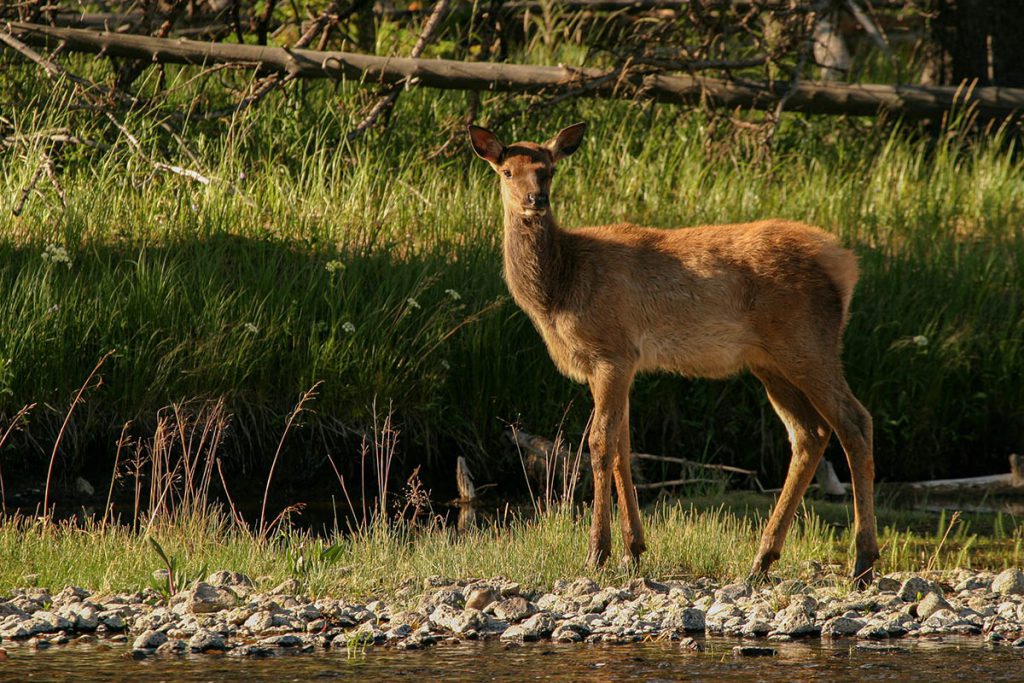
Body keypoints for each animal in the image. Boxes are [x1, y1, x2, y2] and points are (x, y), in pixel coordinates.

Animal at [471, 120, 880, 585]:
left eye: (549, 170)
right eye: (507, 171)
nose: (535, 200)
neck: (558, 290)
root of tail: (845, 264)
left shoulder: (611, 352)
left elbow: (599, 443)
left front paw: (597, 553)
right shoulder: (619, 363)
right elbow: (622, 445)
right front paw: (633, 549)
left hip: (807, 341)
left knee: (854, 421)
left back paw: (863, 560)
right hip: (770, 361)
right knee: (810, 433)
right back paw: (762, 559)